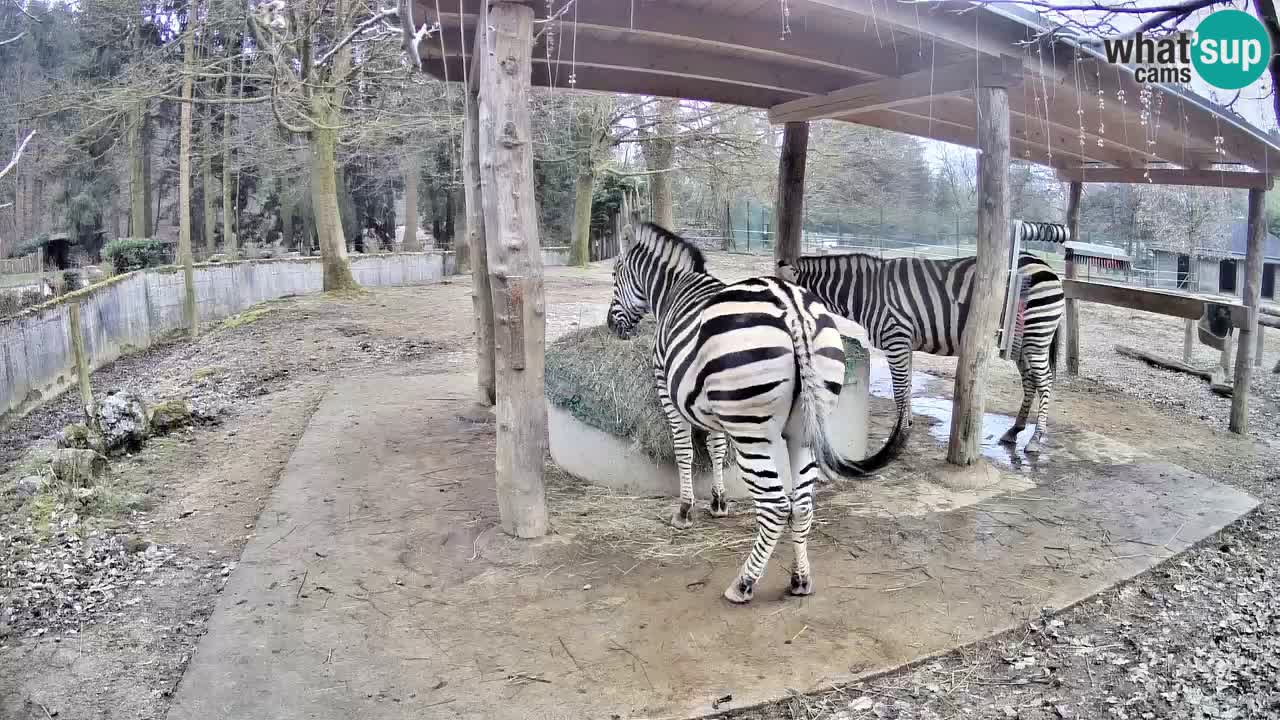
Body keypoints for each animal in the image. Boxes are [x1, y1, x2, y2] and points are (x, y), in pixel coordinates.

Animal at [604, 222, 906, 599]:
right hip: (804, 427)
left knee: (776, 506)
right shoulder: (711, 405)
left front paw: (685, 510)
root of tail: (793, 308)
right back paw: (800, 580)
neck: (674, 290)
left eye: (614, 274)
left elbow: (684, 451)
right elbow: (717, 449)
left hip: (751, 430)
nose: (611, 326)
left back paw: (744, 584)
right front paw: (719, 502)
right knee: (801, 505)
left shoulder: (668, 392)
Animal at [773, 221, 1064, 450]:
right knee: (1031, 381)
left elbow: (900, 388)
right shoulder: (904, 342)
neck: (866, 293)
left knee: (1045, 381)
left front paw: (899, 434)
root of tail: (1047, 266)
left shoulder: (896, 338)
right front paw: (907, 425)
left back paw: (1036, 439)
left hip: (1036, 334)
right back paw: (1014, 431)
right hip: (1022, 341)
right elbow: (908, 386)